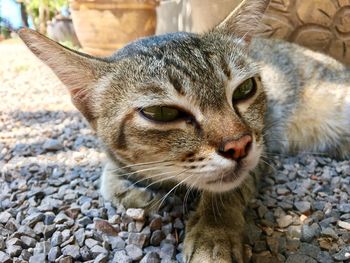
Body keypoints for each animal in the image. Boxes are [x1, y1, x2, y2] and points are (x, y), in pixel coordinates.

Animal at [19, 0, 350, 262]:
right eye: (162, 113)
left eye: (245, 89)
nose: (239, 145)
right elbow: (110, 178)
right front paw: (131, 187)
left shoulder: (263, 144)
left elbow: (225, 192)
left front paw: (214, 235)